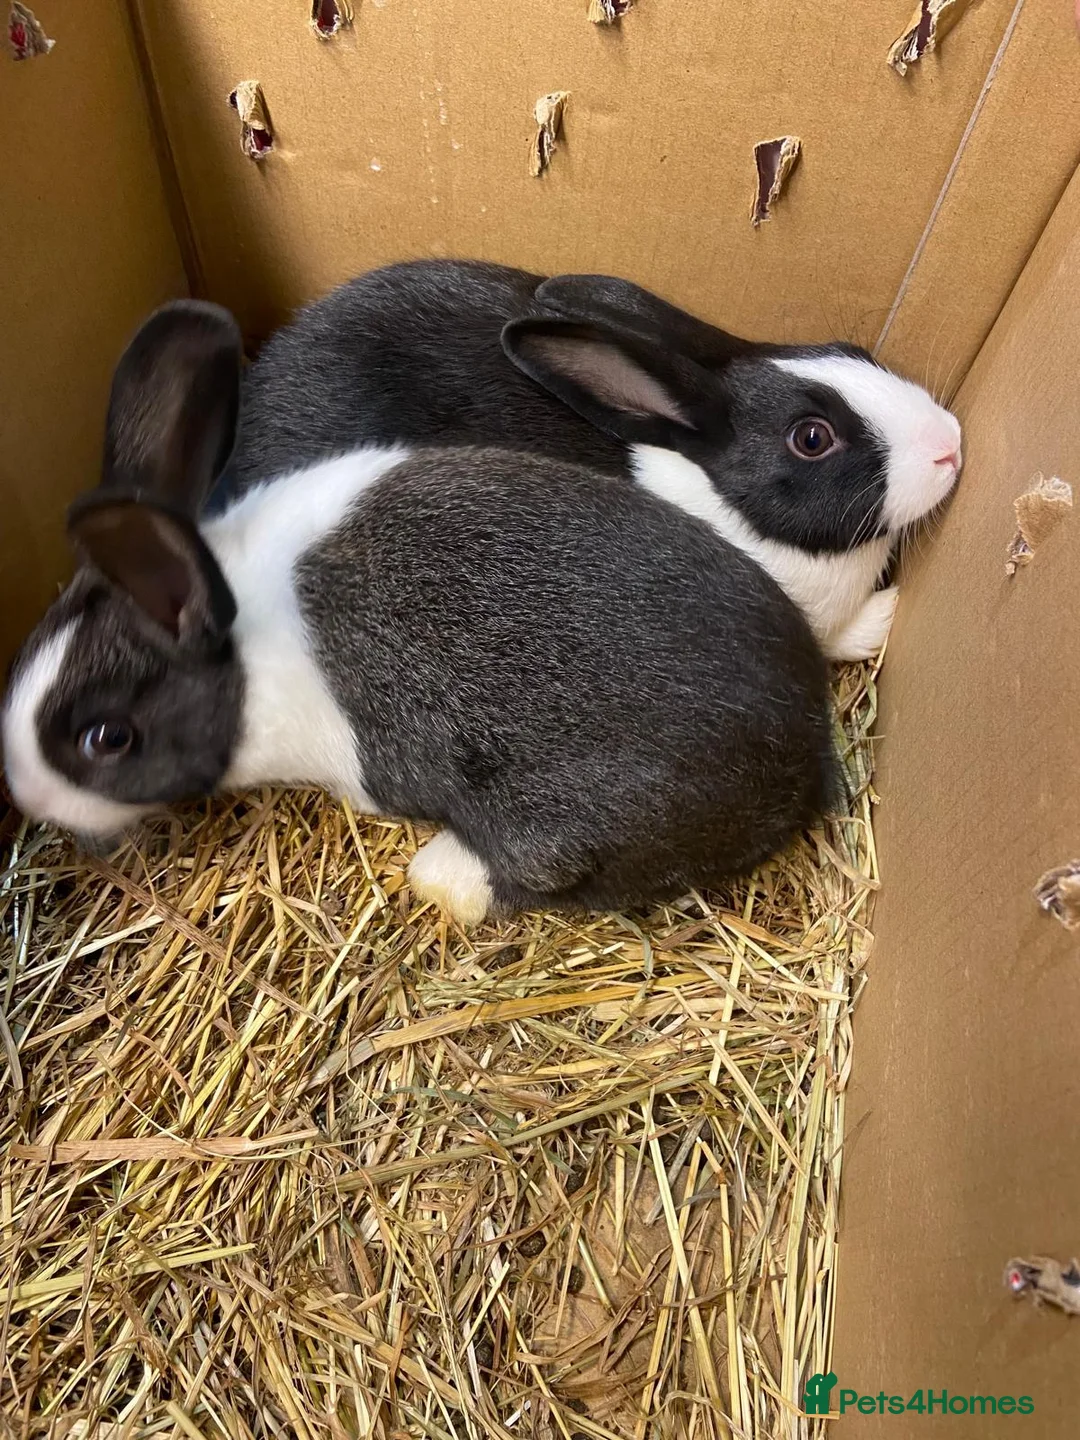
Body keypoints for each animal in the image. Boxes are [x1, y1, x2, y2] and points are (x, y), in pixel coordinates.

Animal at [3, 301, 840, 925]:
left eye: (106, 738)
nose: (28, 799)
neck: (240, 638)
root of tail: (806, 750)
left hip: (564, 818)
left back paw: (442, 873)